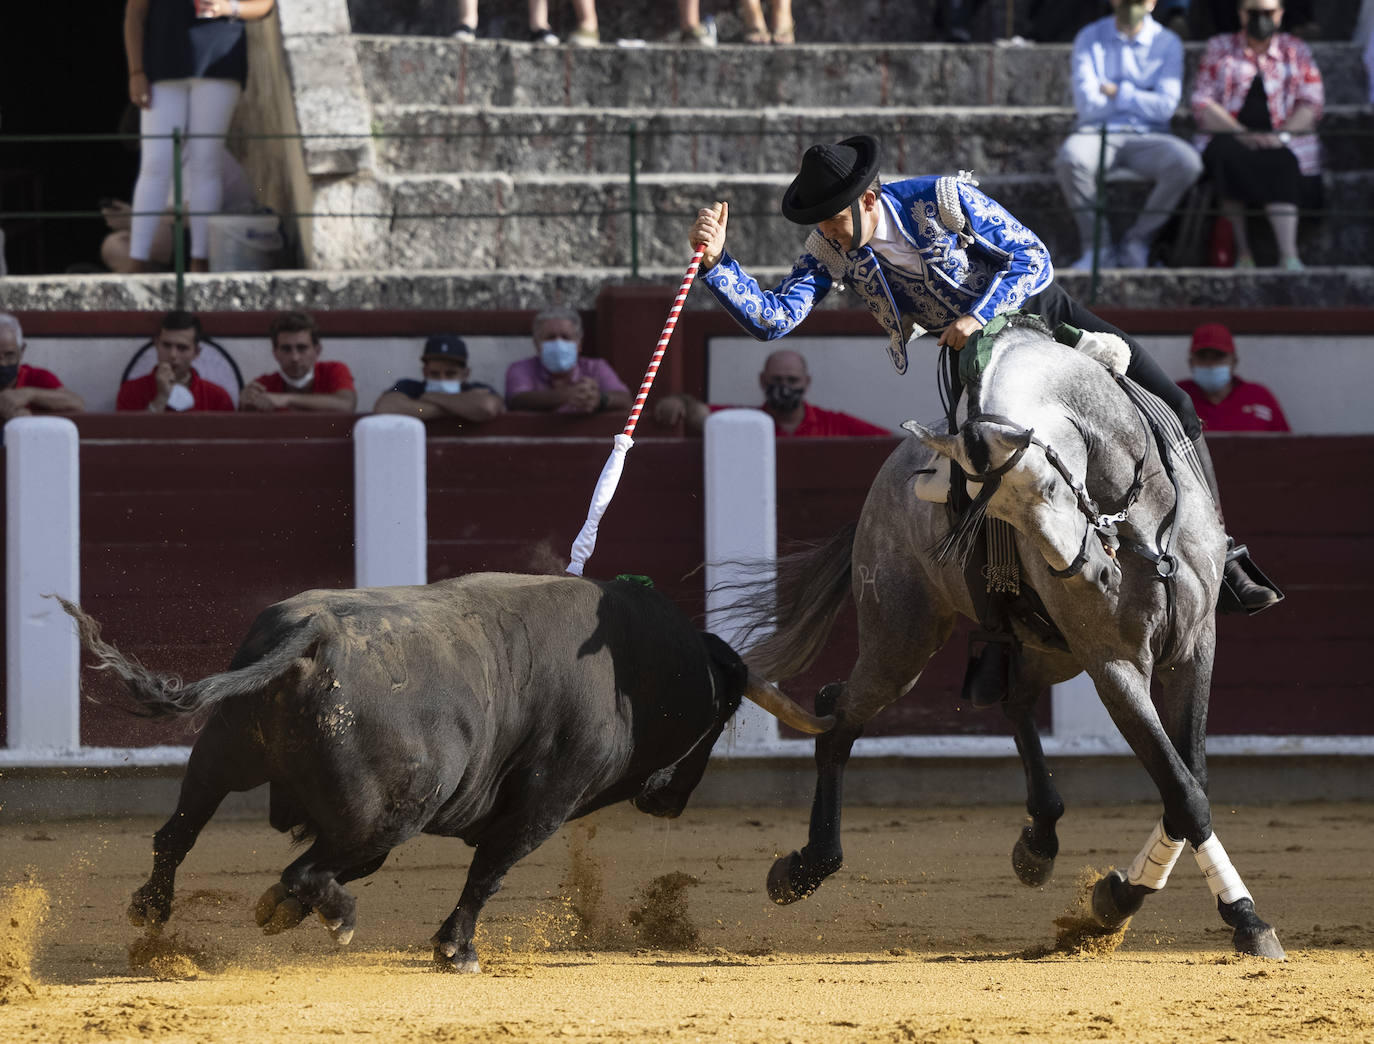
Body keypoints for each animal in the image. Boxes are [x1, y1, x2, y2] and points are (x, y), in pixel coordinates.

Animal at [59, 571, 829, 972]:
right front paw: (456, 949)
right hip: (390, 811)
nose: (672, 802)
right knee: (307, 870)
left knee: (180, 834)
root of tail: (314, 635)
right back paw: (335, 919)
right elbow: (490, 869)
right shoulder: (546, 801)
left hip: (224, 756)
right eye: (722, 715)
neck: (634, 667)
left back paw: (155, 912)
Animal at [741, 315, 1286, 961]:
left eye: (1049, 485)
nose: (1090, 574)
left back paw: (1040, 841)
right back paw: (802, 869)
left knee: (1014, 696)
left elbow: (1190, 778)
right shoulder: (1113, 663)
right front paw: (1224, 915)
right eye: (989, 514)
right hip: (905, 636)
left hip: (1047, 647)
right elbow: (1183, 790)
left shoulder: (1195, 645)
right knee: (839, 715)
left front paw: (1126, 898)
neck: (1135, 513)